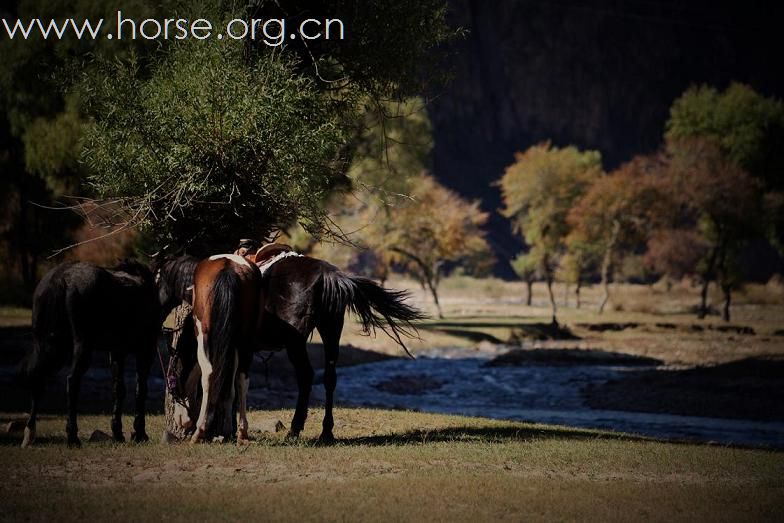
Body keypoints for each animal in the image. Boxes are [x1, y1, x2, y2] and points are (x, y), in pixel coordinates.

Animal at [20, 260, 161, 446]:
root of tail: (60, 279)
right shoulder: (146, 351)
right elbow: (141, 390)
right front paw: (139, 433)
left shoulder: (117, 351)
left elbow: (118, 389)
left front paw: (118, 433)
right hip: (81, 347)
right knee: (72, 381)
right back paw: (73, 438)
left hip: (49, 346)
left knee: (37, 377)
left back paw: (29, 433)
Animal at [155, 248, 422, 444]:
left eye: (158, 277)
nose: (180, 422)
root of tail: (328, 275)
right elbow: (230, 379)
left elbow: (216, 375)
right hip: (331, 330)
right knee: (329, 378)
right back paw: (326, 431)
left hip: (296, 342)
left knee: (306, 376)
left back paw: (294, 429)